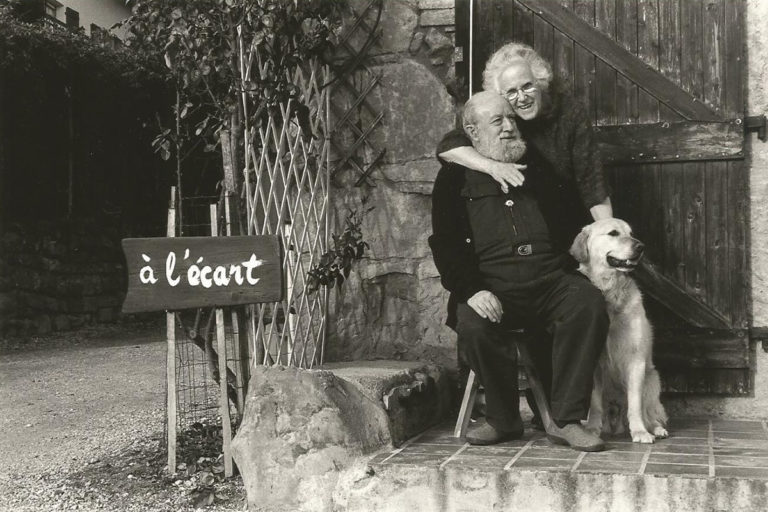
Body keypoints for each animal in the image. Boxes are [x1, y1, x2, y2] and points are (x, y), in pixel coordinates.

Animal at [568, 219, 668, 444]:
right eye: (613, 233)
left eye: (631, 233)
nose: (641, 247)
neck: (610, 291)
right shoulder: (594, 362)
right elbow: (595, 403)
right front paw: (592, 429)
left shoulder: (636, 360)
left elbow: (635, 404)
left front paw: (640, 432)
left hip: (652, 379)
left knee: (649, 413)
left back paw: (656, 429)